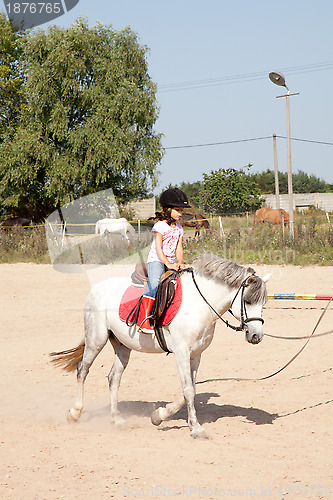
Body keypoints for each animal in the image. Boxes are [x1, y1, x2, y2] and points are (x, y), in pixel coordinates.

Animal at [52, 254, 270, 438]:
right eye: (247, 301)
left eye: (263, 303)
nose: (256, 336)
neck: (199, 304)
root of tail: (97, 288)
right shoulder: (181, 353)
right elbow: (188, 390)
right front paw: (196, 428)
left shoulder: (196, 355)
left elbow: (190, 389)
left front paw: (159, 415)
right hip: (96, 339)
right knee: (83, 369)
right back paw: (75, 413)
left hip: (122, 346)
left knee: (113, 378)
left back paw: (116, 419)